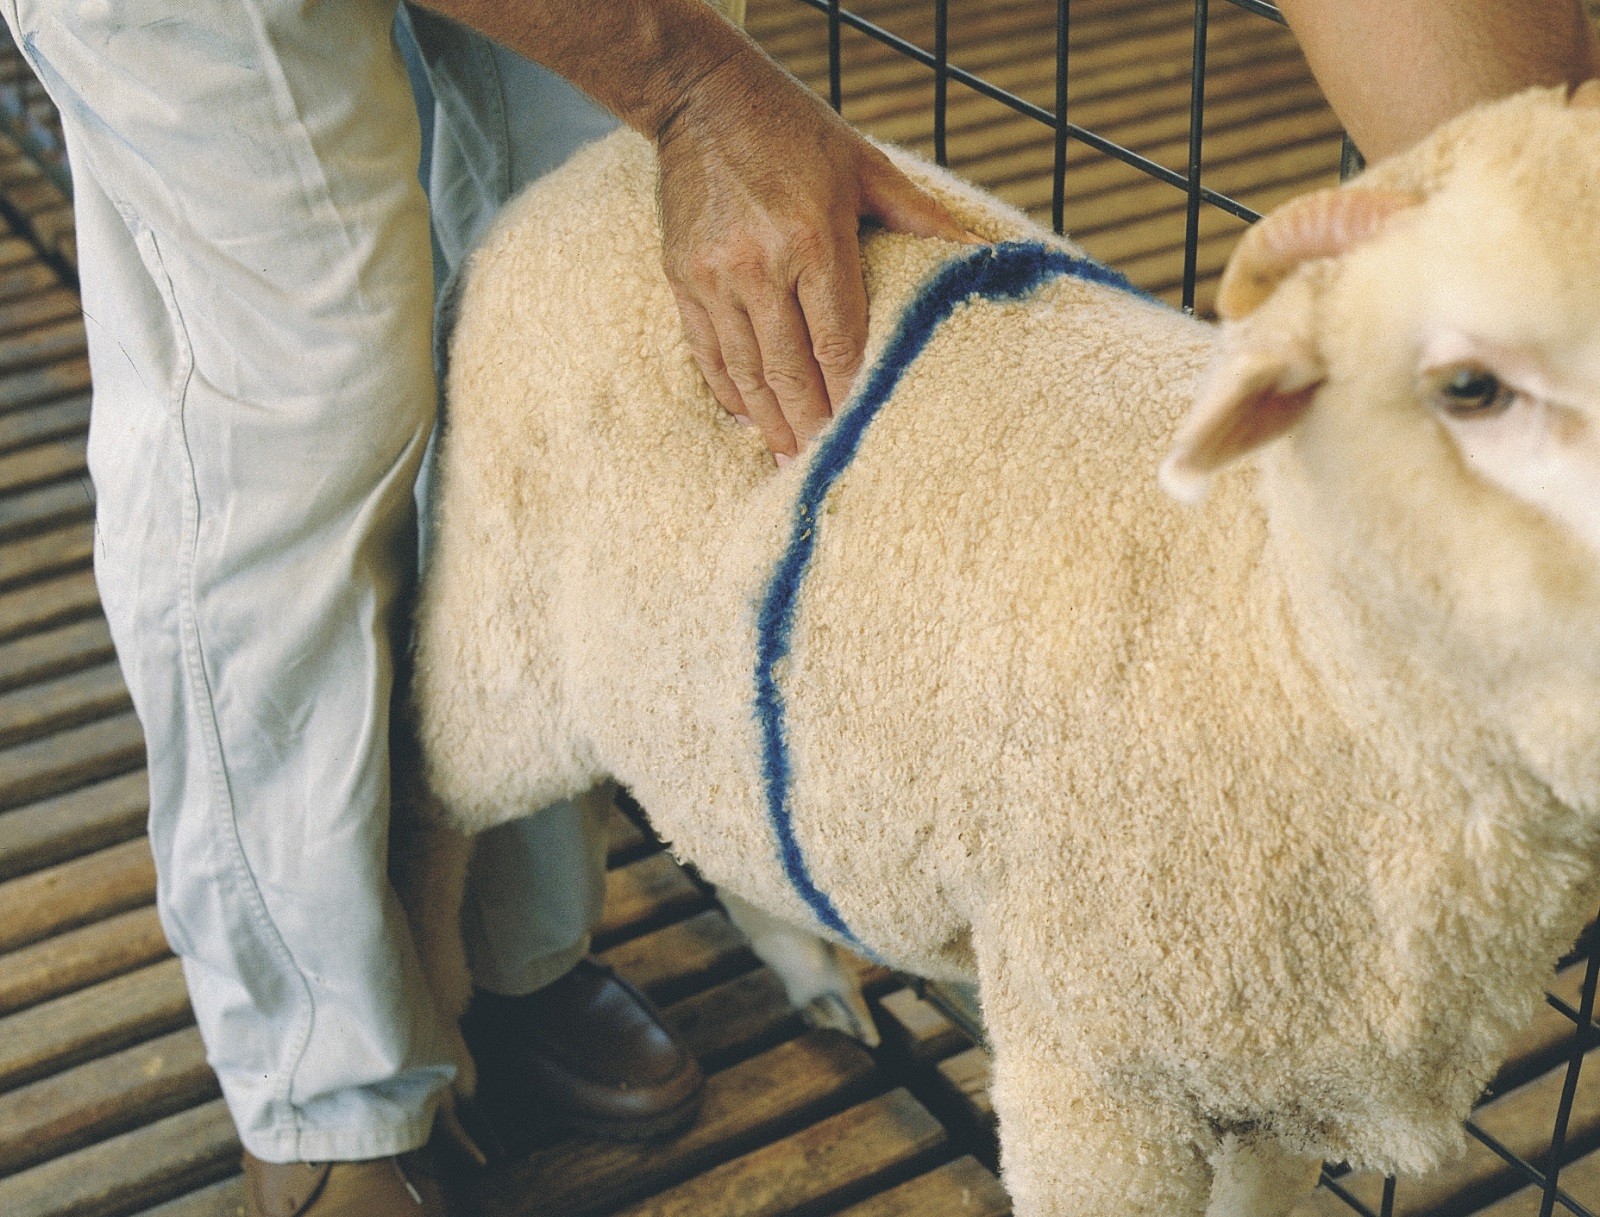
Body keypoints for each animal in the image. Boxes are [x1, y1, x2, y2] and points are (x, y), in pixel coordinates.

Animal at [403, 85, 1600, 1215]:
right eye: (1468, 385)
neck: (1278, 621)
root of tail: (588, 166)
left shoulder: (1280, 1093)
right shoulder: (1094, 1069)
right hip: (491, 625)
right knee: (425, 811)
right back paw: (443, 1070)